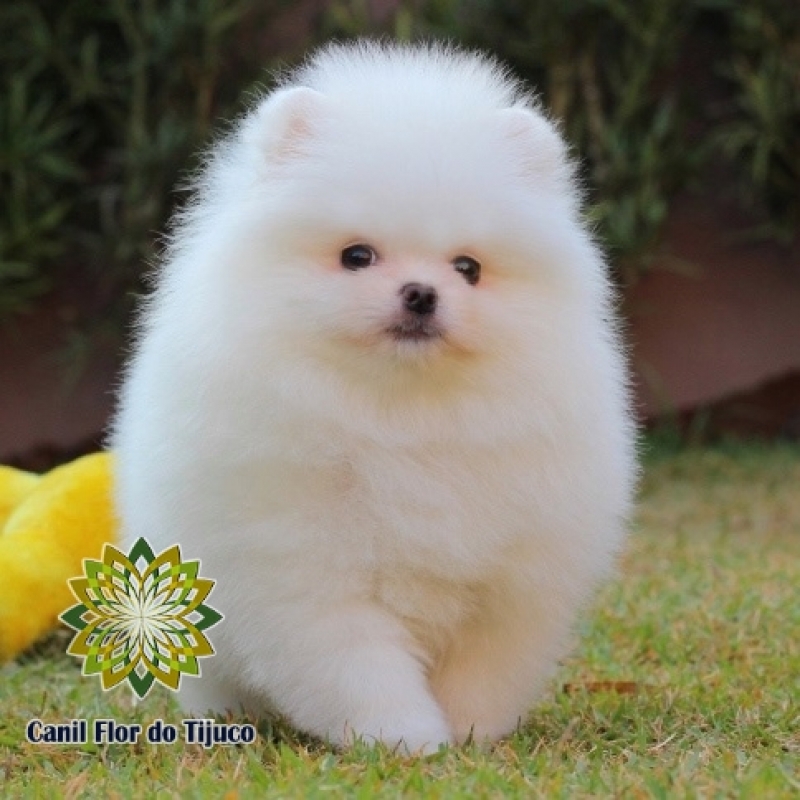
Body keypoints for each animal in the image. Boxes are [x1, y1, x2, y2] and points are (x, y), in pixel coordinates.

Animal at [112, 42, 636, 756]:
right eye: (356, 256)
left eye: (468, 268)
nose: (421, 294)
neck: (401, 415)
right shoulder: (306, 572)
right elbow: (358, 668)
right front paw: (405, 738)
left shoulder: (508, 585)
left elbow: (483, 672)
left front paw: (468, 735)